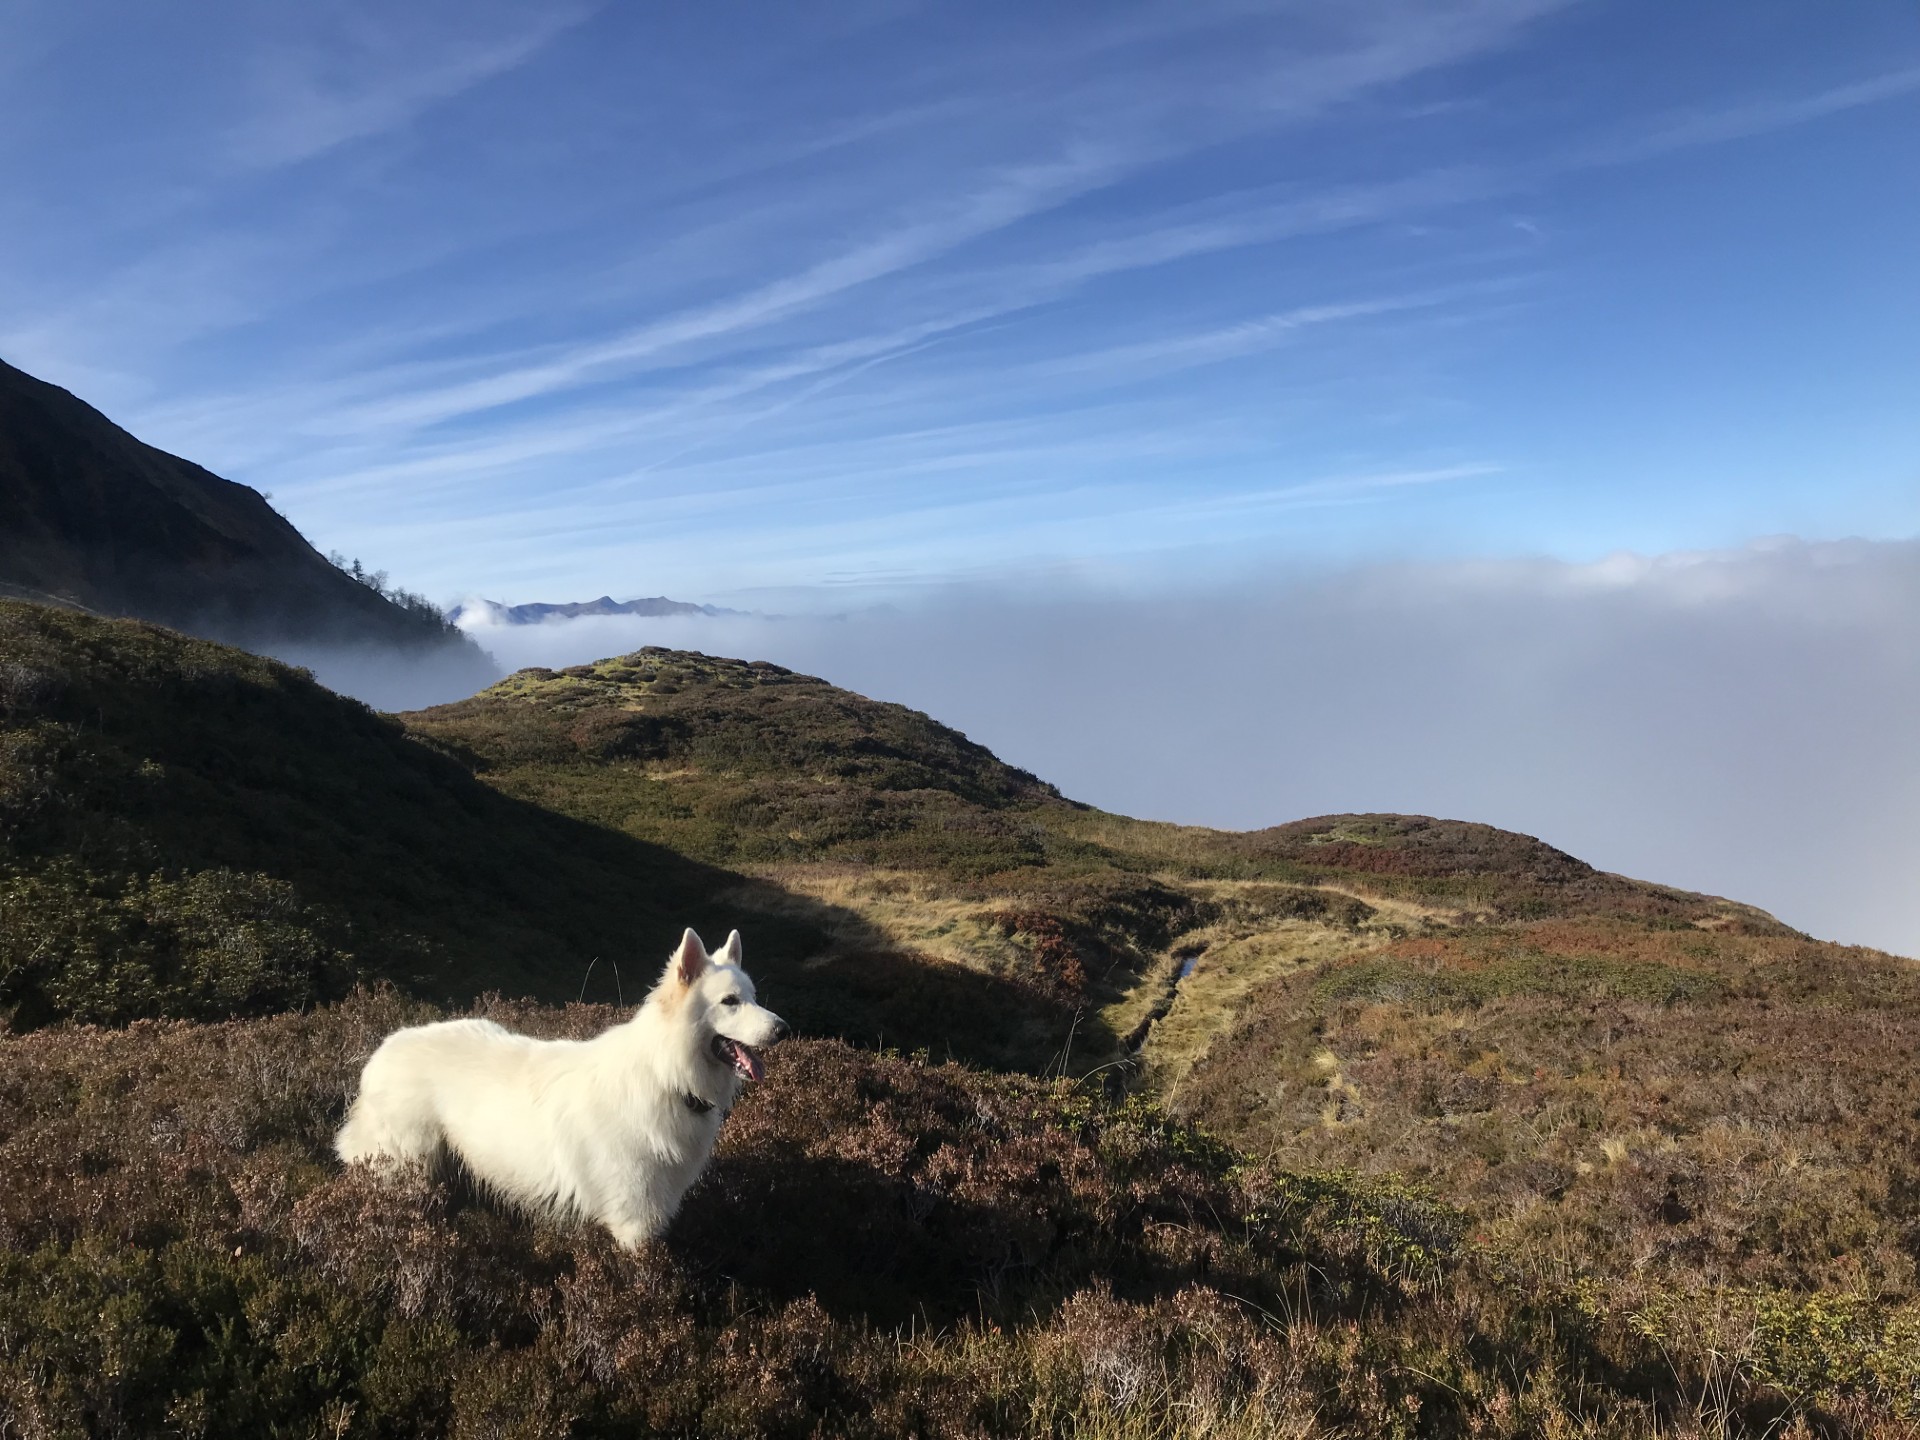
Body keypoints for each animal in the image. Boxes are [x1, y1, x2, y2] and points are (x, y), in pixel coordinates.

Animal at [334, 929, 783, 1244]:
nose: (783, 1029)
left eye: (754, 997)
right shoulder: (633, 1224)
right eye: (730, 1002)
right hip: (407, 1175)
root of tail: (382, 1052)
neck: (665, 1073)